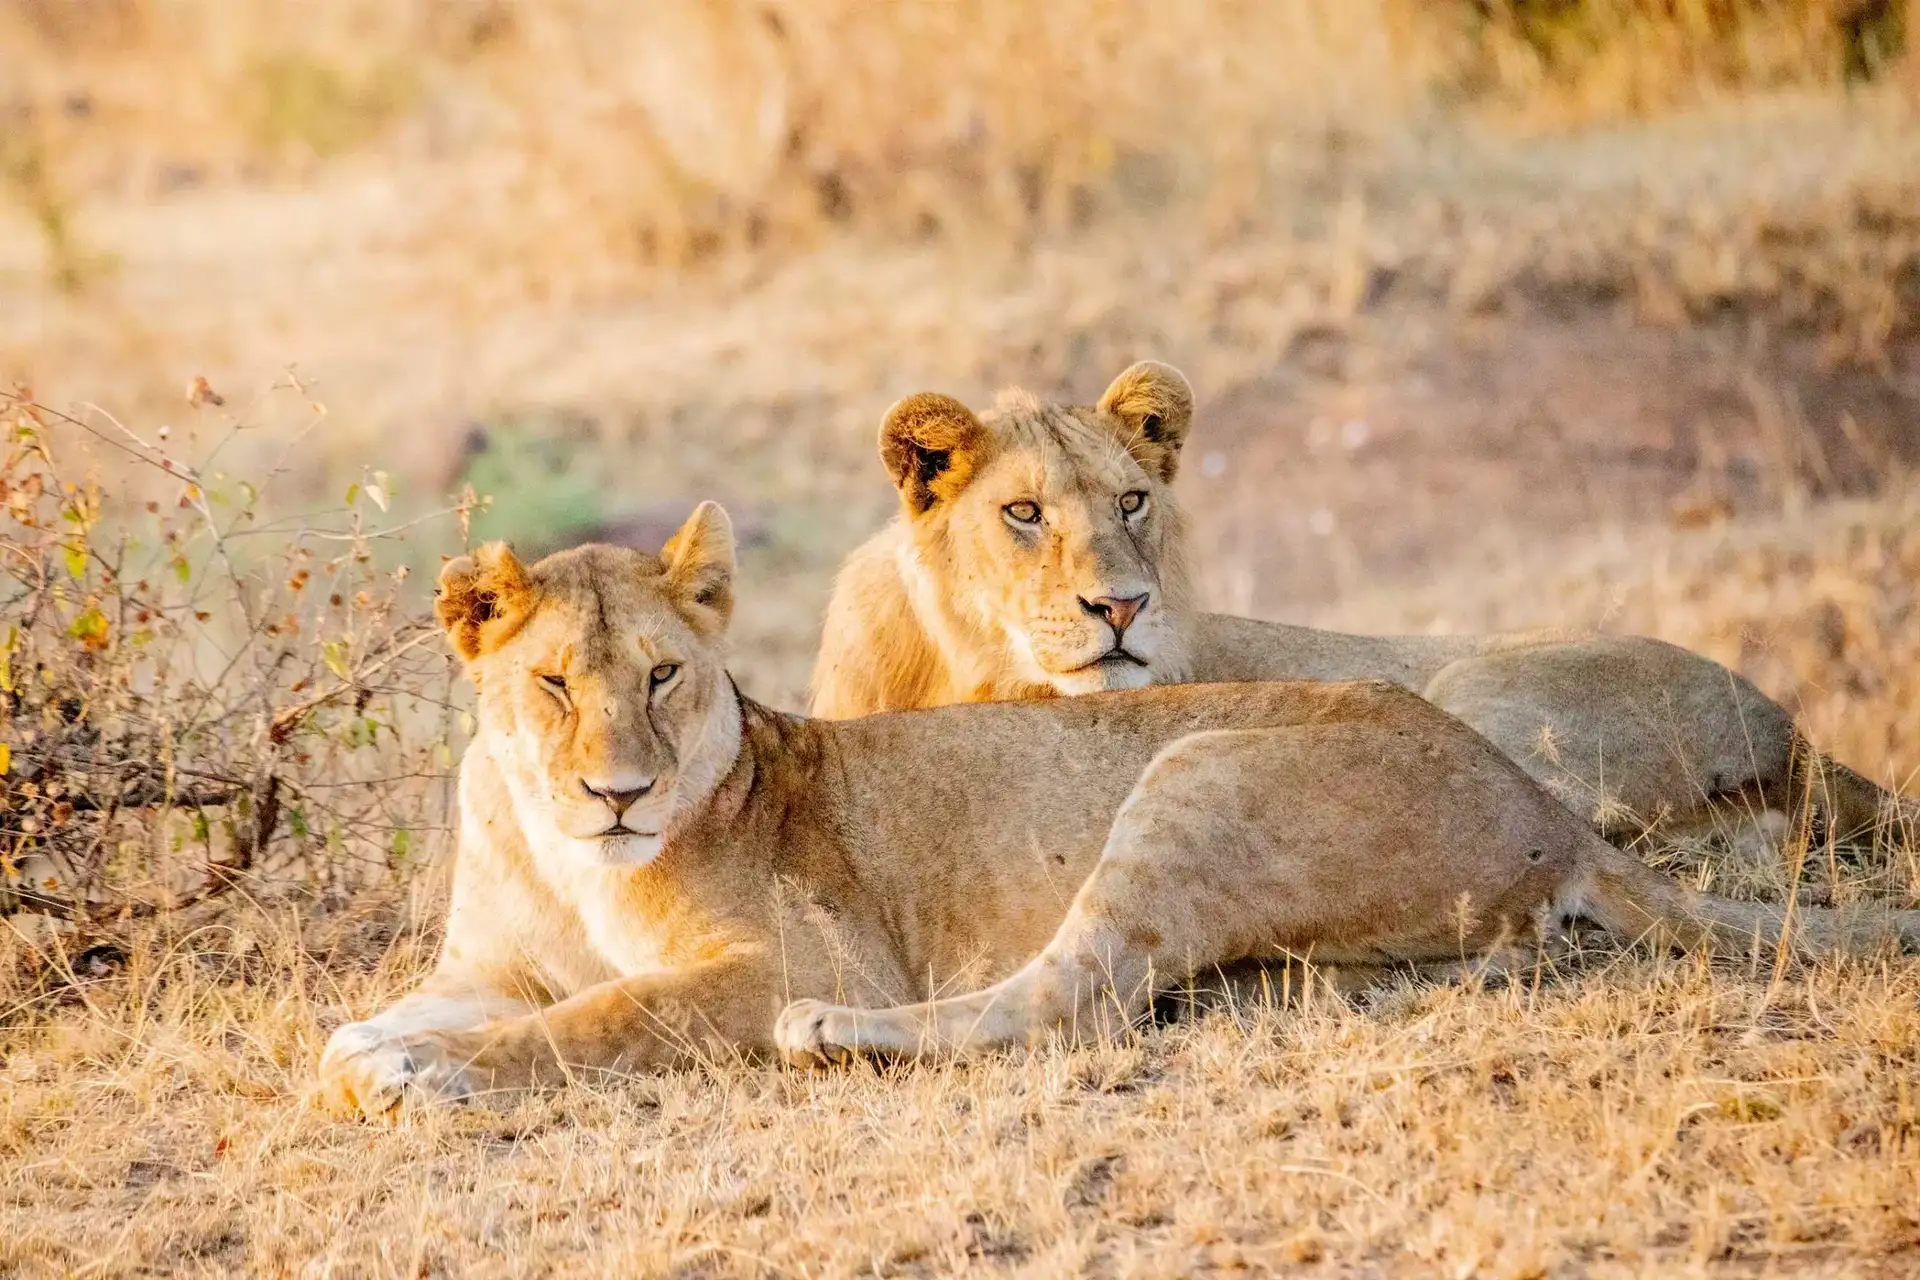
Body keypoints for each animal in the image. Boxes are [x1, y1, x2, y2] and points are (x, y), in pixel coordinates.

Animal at [316, 504, 1919, 1115]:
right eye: (550, 685)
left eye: (662, 674)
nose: (618, 794)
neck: (562, 854)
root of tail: (1541, 802)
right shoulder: (488, 959)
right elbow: (401, 1010)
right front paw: (371, 1051)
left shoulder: (783, 955)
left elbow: (603, 1017)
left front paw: (437, 1072)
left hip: (1188, 775)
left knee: (1067, 1000)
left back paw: (837, 1042)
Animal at [810, 361, 1915, 847]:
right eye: (1024, 512)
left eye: (1131, 500)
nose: (1121, 607)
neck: (955, 666)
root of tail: (1795, 727)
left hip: (1481, 689)